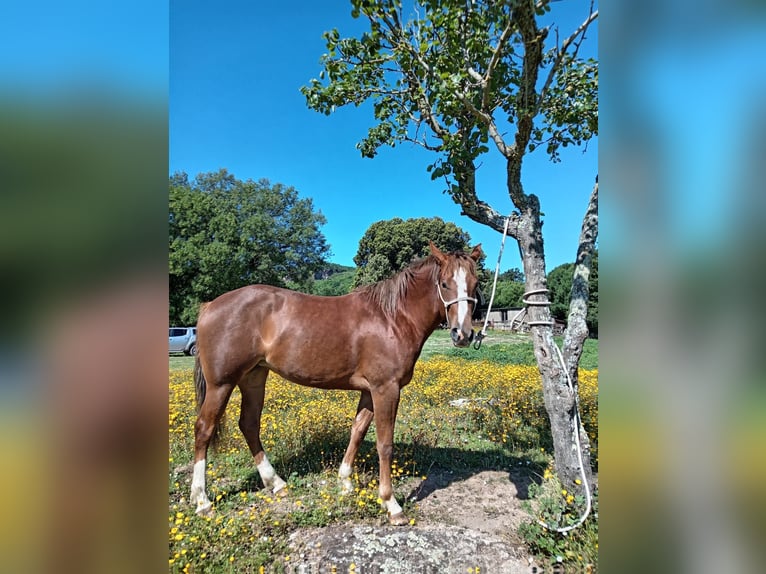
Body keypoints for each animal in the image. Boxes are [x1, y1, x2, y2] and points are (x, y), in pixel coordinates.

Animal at [190, 241, 483, 525]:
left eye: (475, 282)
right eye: (444, 283)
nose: (463, 334)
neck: (393, 318)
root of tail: (210, 306)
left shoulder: (369, 391)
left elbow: (357, 431)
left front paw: (345, 483)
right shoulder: (386, 389)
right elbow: (384, 444)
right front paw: (391, 504)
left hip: (254, 377)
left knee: (249, 424)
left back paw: (276, 483)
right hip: (221, 384)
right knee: (204, 429)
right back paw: (203, 502)